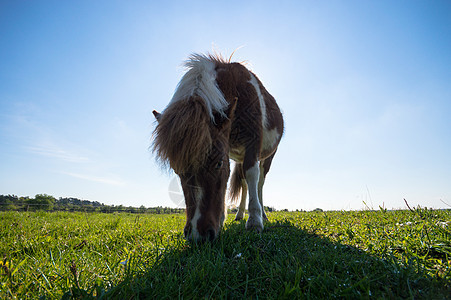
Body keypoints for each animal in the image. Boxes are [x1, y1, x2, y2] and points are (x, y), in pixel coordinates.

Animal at [154, 53, 284, 241]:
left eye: (218, 163)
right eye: (177, 170)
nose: (197, 235)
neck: (236, 88)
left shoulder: (253, 143)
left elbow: (252, 175)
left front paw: (254, 222)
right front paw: (224, 219)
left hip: (267, 157)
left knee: (259, 182)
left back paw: (263, 215)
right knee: (244, 182)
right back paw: (239, 214)